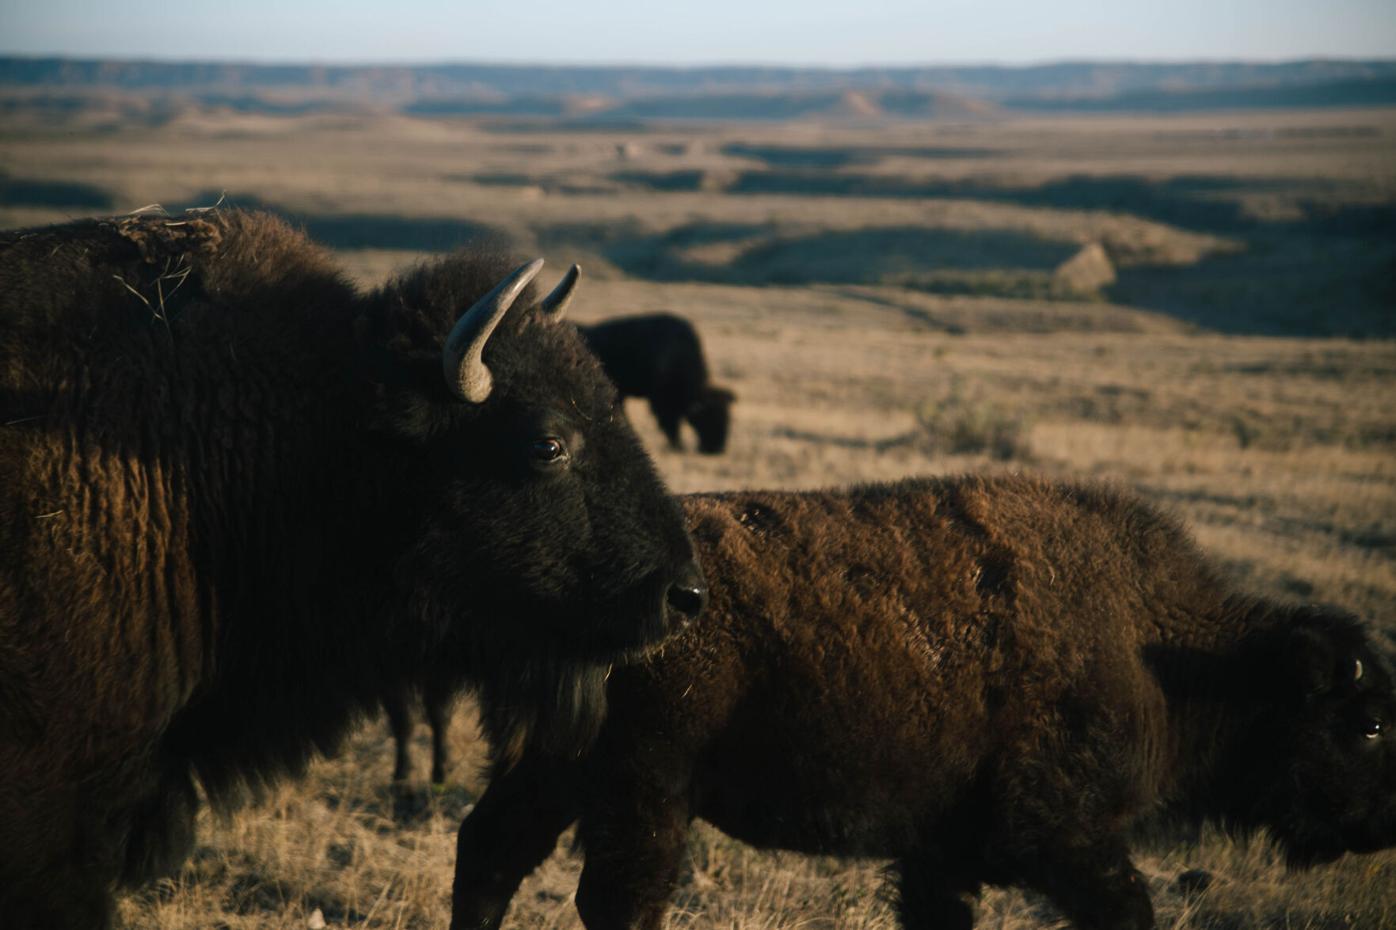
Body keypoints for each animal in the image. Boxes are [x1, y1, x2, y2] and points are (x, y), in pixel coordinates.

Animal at [450, 475, 1395, 930]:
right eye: (1369, 723)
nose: (1385, 825)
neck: (1156, 646)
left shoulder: (942, 854)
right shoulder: (1058, 833)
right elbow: (1129, 907)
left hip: (554, 772)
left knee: (490, 853)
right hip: (643, 789)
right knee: (617, 900)